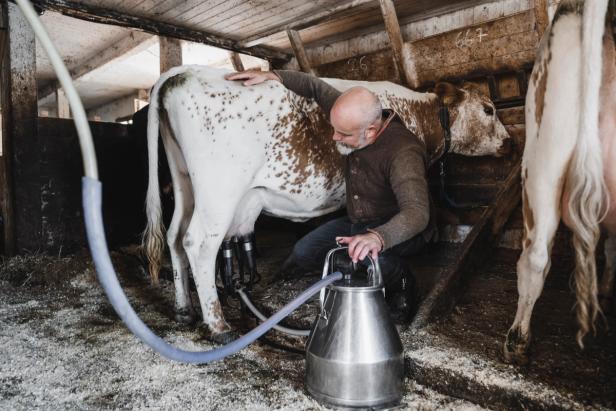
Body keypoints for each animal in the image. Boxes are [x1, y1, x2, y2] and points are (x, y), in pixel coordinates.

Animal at [143, 67, 510, 344]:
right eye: (488, 109)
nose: (510, 141)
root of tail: (183, 72)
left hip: (185, 182)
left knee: (175, 236)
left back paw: (184, 310)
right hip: (219, 191)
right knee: (198, 243)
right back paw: (218, 325)